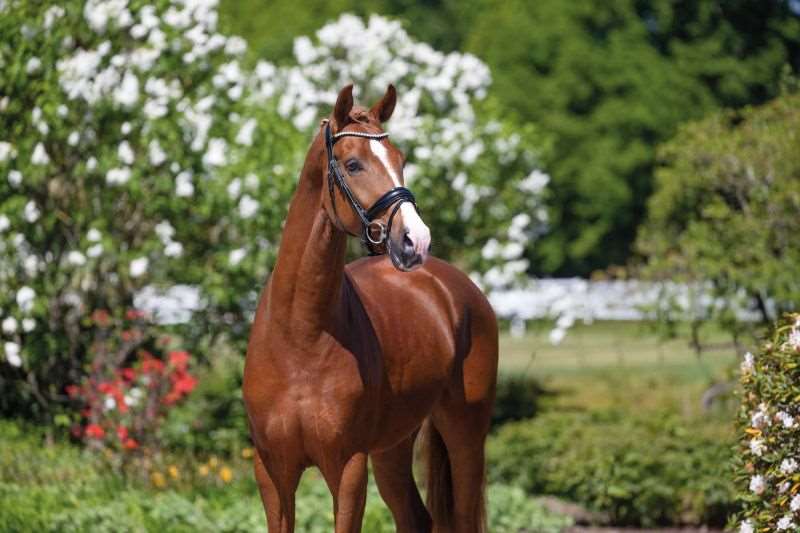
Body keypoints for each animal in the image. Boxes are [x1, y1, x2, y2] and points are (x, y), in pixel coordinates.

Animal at [243, 83, 499, 533]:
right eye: (353, 164)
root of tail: (456, 288)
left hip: (465, 432)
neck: (299, 335)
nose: (415, 240)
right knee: (415, 518)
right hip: (393, 445)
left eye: (401, 160)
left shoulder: (347, 467)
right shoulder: (272, 471)